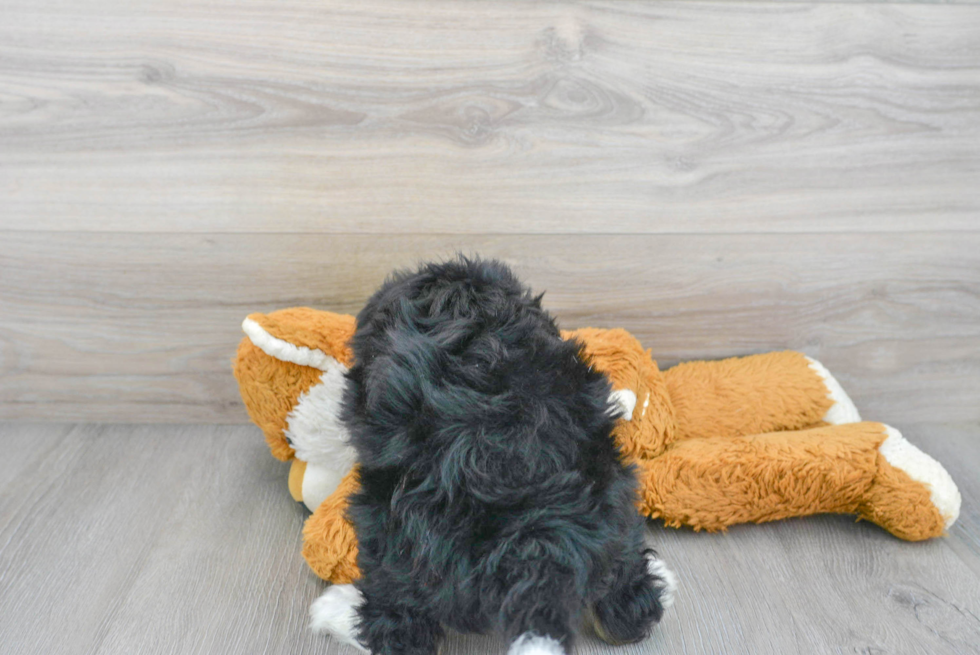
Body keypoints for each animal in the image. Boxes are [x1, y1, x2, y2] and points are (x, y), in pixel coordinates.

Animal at [334, 256, 668, 655]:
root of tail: (535, 537)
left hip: (388, 524)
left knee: (392, 589)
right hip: (614, 489)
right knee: (623, 555)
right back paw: (630, 616)